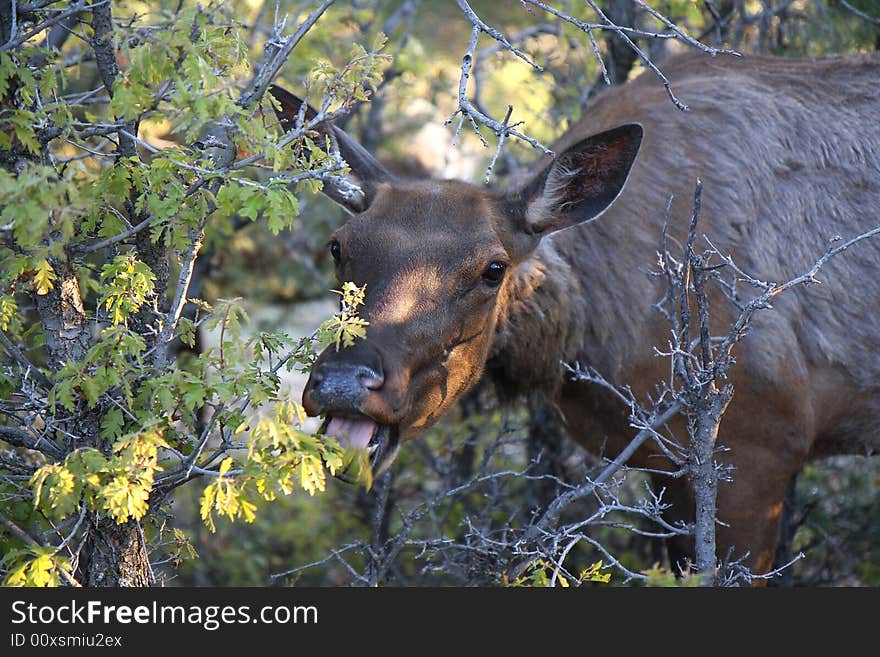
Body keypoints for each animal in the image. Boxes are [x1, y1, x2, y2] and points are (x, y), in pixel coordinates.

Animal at [268, 50, 880, 576]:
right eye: (338, 245)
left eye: (493, 268)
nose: (343, 380)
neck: (590, 332)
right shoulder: (669, 467)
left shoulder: (759, 447)